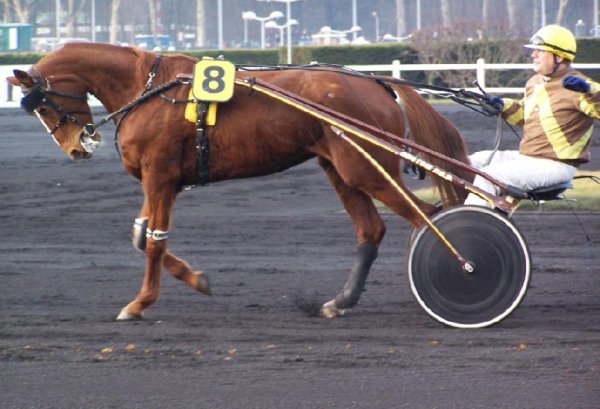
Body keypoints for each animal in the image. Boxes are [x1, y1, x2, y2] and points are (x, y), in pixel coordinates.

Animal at [7, 43, 472, 320]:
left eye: (42, 105)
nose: (77, 149)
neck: (148, 89)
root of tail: (376, 81)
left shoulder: (158, 175)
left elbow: (154, 241)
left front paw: (139, 304)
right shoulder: (165, 181)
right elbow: (142, 236)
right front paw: (198, 279)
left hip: (364, 167)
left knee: (429, 217)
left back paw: (457, 271)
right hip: (339, 168)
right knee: (372, 230)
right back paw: (341, 301)